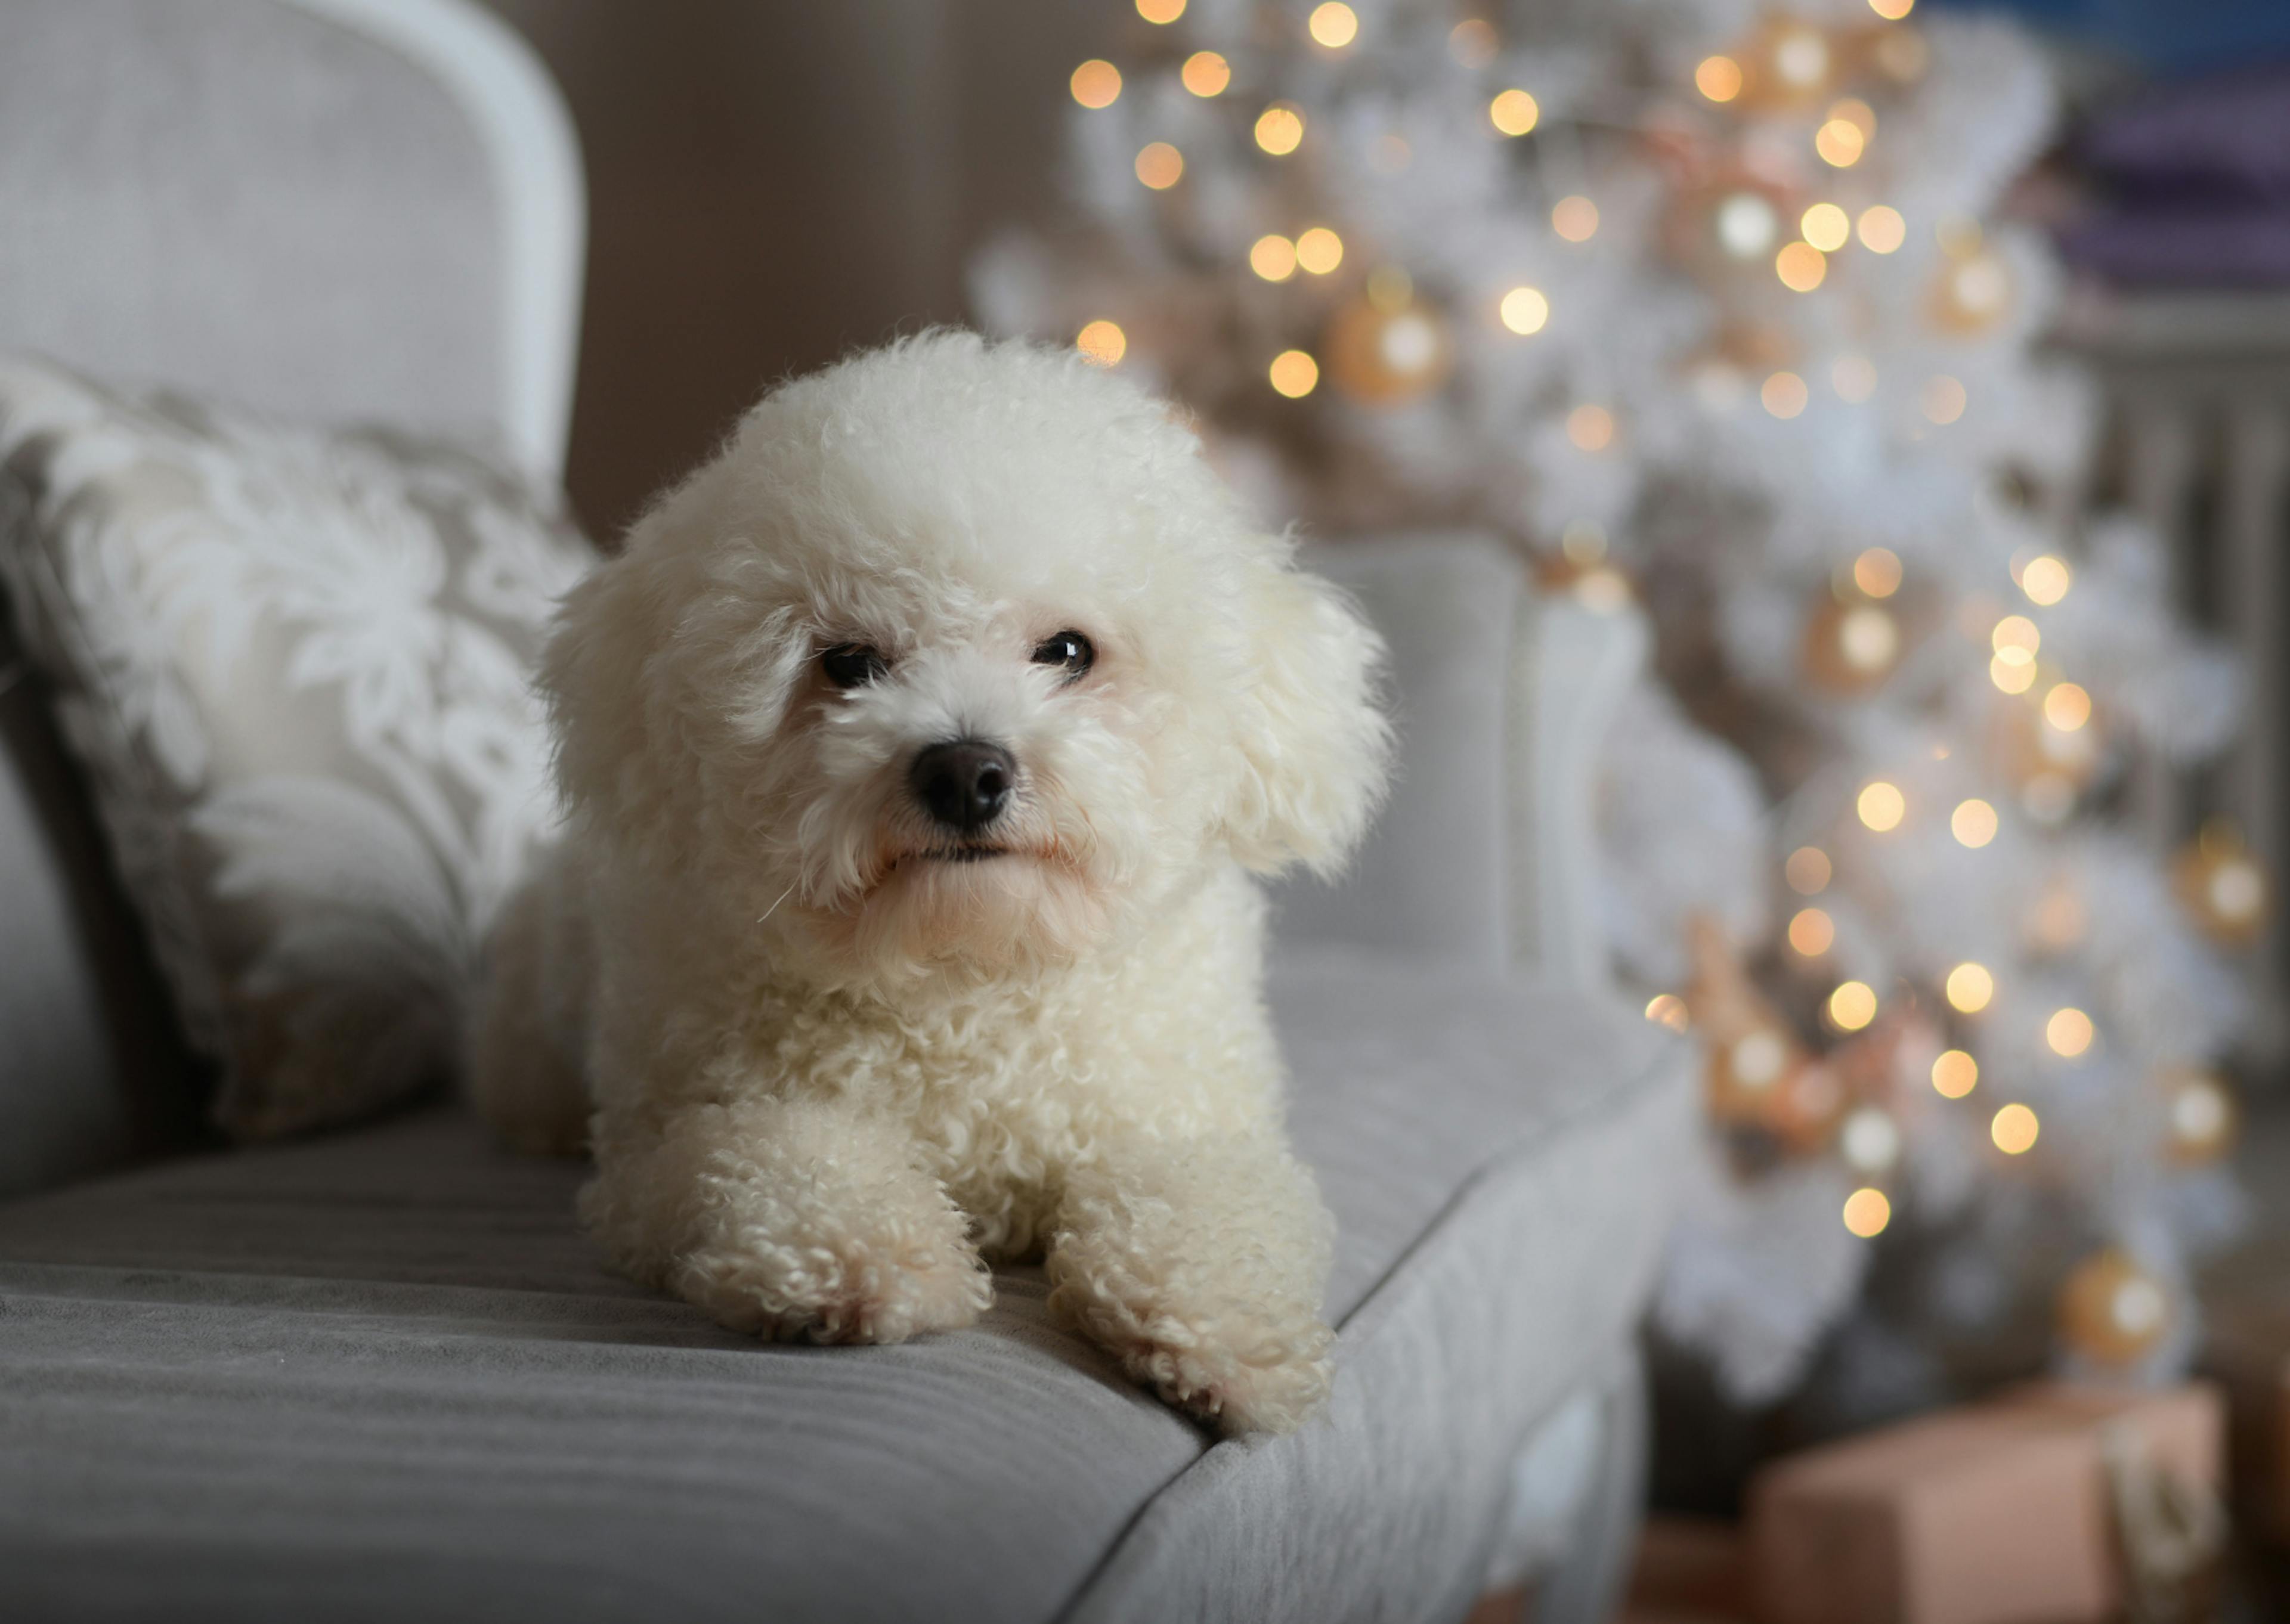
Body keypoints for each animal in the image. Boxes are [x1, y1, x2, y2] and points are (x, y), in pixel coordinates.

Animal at [474, 332, 1383, 1429]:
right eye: (848, 662)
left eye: (1067, 651)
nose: (965, 771)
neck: (968, 979)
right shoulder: (662, 1152)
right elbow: (771, 1150)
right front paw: (853, 1259)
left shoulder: (1187, 1118)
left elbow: (1212, 1199)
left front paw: (1226, 1329)